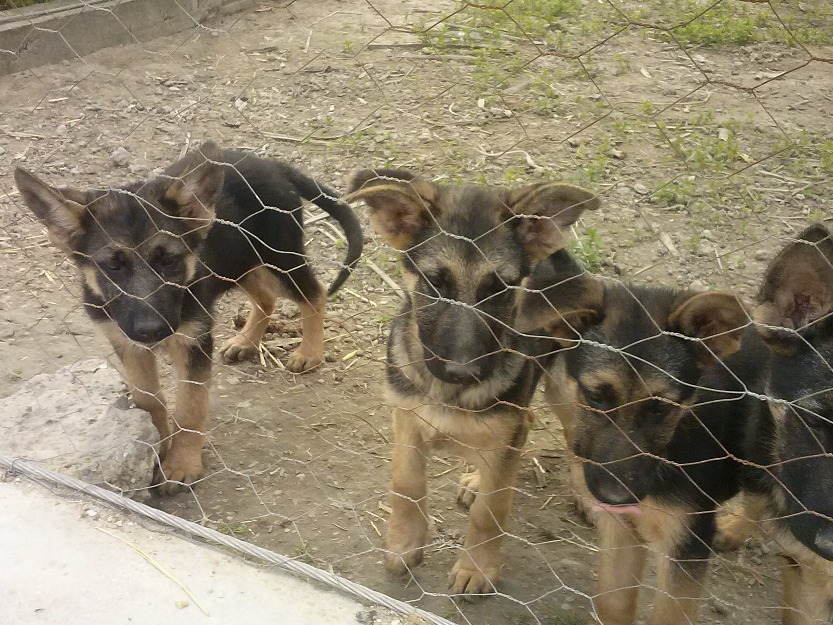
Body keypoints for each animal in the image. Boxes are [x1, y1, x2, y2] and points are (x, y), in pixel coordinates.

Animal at [13, 141, 360, 492]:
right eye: (112, 266)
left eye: (169, 261)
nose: (152, 331)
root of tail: (272, 164)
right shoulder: (127, 343)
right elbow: (149, 399)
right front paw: (157, 444)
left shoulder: (194, 339)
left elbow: (191, 407)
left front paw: (181, 464)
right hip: (238, 262)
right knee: (266, 297)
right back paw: (246, 341)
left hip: (280, 256)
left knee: (314, 294)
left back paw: (309, 352)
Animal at [344, 169, 600, 596]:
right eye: (435, 283)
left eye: (498, 289)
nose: (464, 371)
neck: (449, 394)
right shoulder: (406, 419)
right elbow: (406, 485)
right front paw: (404, 544)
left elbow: (490, 511)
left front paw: (477, 568)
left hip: (565, 389)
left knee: (576, 443)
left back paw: (586, 496)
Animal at [520, 250, 748, 624]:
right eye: (595, 395)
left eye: (660, 408)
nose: (616, 496)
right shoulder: (621, 527)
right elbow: (613, 601)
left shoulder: (686, 542)